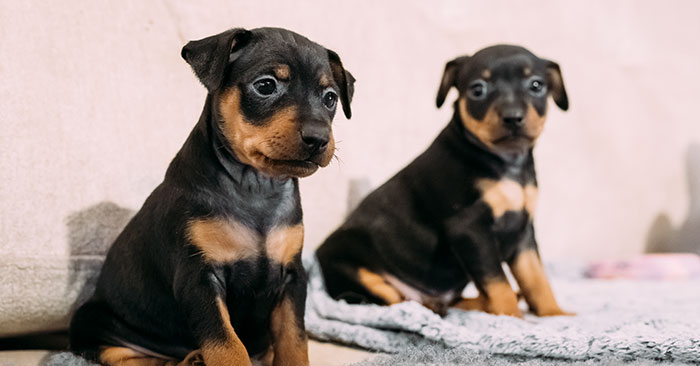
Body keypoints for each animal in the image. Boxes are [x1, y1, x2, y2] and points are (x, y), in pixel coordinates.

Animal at [68, 26, 352, 366]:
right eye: (266, 85)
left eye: (330, 98)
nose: (318, 139)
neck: (256, 187)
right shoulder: (199, 279)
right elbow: (226, 344)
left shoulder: (292, 277)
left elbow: (294, 339)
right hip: (93, 319)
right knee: (124, 355)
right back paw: (189, 359)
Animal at [318, 43, 568, 318]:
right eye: (478, 90)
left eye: (536, 85)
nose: (513, 117)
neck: (506, 163)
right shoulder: (470, 229)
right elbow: (497, 281)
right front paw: (511, 317)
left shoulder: (523, 233)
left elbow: (537, 279)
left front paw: (554, 314)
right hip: (357, 273)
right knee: (398, 301)